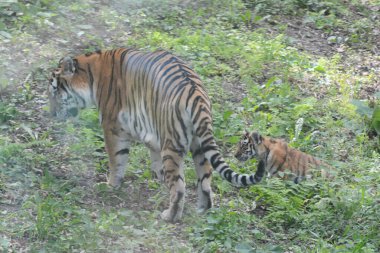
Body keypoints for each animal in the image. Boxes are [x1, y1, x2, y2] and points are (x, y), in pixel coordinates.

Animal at [48, 48, 264, 222]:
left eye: (54, 90)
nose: (51, 113)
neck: (92, 72)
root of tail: (196, 95)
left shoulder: (113, 128)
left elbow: (116, 160)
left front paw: (111, 185)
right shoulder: (151, 134)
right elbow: (154, 160)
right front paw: (158, 179)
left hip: (172, 145)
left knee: (179, 187)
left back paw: (170, 216)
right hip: (200, 147)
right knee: (205, 182)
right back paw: (202, 210)